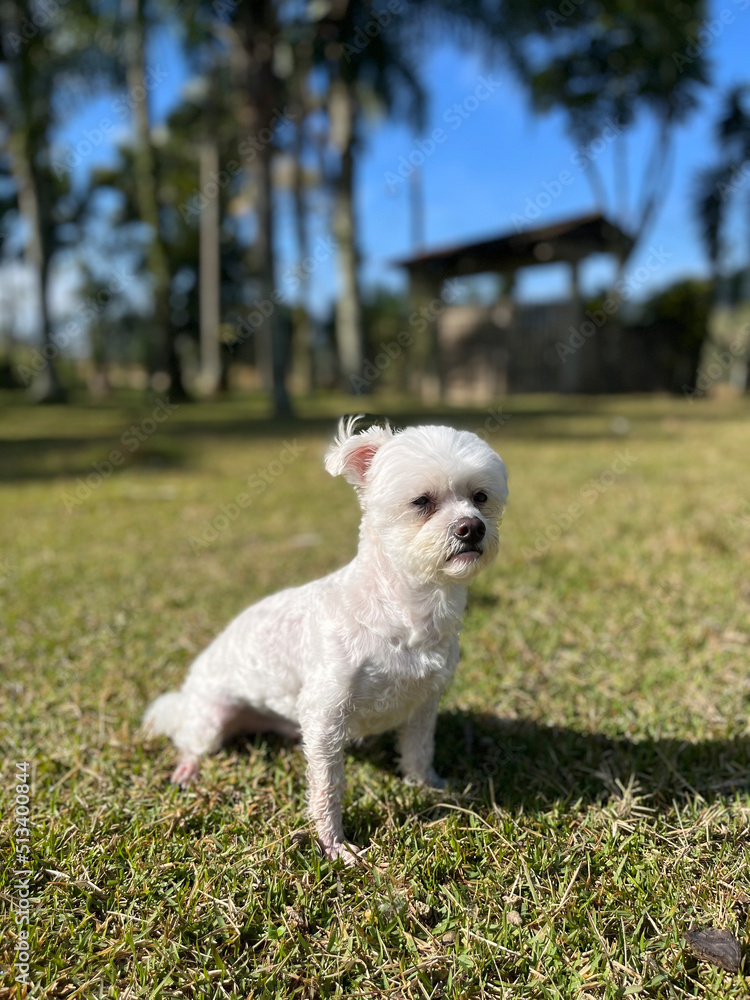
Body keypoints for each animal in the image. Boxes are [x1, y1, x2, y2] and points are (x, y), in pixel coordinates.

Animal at [144, 414, 508, 860]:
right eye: (422, 501)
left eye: (480, 497)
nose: (472, 527)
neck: (404, 609)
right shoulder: (325, 714)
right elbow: (327, 787)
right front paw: (333, 843)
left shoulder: (423, 703)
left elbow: (419, 752)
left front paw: (429, 788)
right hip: (211, 718)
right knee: (189, 740)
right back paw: (187, 767)